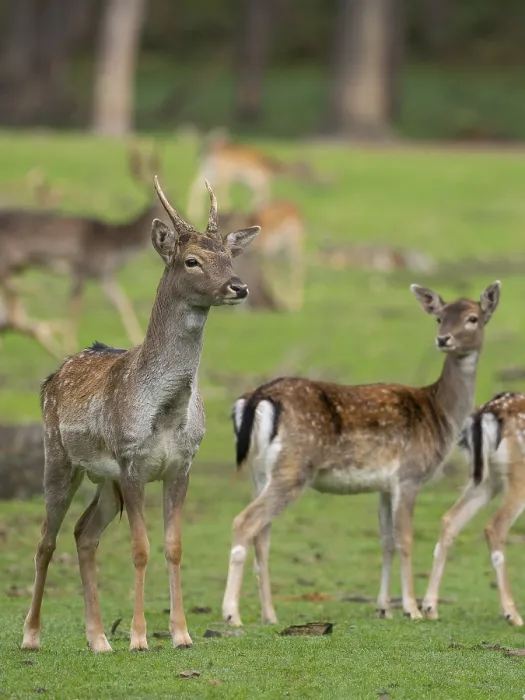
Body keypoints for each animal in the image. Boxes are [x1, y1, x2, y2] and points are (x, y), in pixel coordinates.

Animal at [0, 145, 164, 357]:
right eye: (171, 203)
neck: (114, 246)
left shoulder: (104, 275)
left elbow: (122, 302)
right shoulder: (81, 268)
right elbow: (76, 307)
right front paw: (68, 345)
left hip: (16, 269)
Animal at [21, 177, 260, 653]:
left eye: (229, 255)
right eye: (191, 260)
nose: (238, 287)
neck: (166, 413)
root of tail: (52, 378)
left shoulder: (181, 465)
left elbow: (173, 546)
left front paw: (182, 634)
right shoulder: (131, 462)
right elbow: (140, 548)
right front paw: (138, 637)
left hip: (104, 480)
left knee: (84, 533)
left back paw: (98, 639)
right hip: (59, 457)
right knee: (45, 540)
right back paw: (31, 636)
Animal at [187, 130, 326, 222]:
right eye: (306, 169)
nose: (315, 181)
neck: (271, 169)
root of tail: (207, 150)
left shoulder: (253, 184)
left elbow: (255, 199)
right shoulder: (262, 181)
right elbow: (263, 197)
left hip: (207, 171)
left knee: (196, 187)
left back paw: (194, 215)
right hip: (224, 173)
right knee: (221, 191)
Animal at [221, 281, 501, 627]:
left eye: (473, 318)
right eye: (440, 318)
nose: (443, 339)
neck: (440, 415)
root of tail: (256, 398)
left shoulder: (384, 485)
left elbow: (386, 540)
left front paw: (383, 607)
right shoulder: (409, 475)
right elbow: (405, 539)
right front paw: (411, 608)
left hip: (258, 472)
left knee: (262, 534)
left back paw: (270, 615)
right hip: (294, 467)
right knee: (244, 522)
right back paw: (232, 614)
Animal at [422, 391, 525, 627]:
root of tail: (485, 414)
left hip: (486, 478)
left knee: (450, 519)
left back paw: (429, 608)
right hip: (516, 474)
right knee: (495, 526)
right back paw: (513, 615)